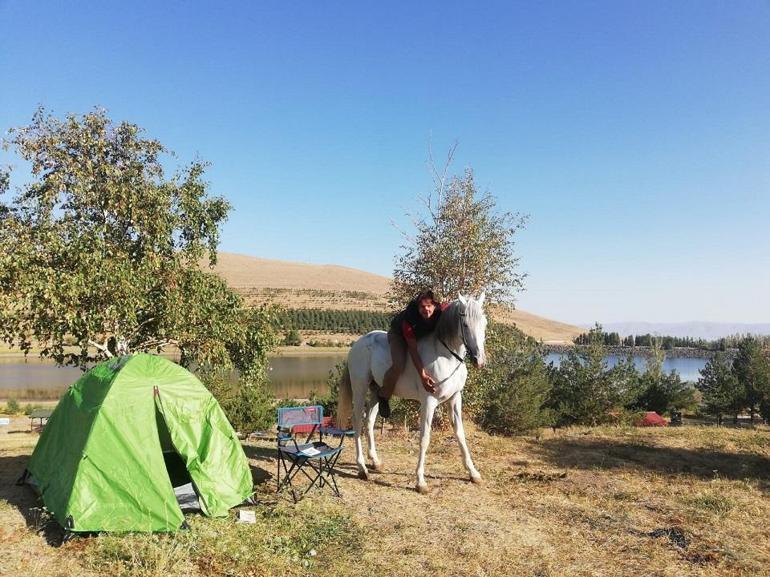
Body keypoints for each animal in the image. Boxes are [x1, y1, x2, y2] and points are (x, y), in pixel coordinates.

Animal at [336, 294, 486, 492]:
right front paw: (420, 481)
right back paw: (362, 468)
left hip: (376, 391)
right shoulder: (429, 402)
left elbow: (460, 434)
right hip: (360, 387)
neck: (446, 355)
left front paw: (473, 473)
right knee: (357, 421)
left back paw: (375, 461)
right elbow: (424, 438)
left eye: (484, 323)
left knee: (369, 421)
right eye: (466, 324)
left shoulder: (455, 399)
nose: (479, 360)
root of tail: (357, 344)